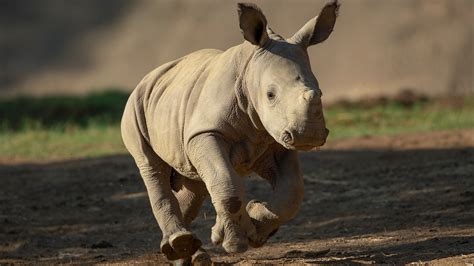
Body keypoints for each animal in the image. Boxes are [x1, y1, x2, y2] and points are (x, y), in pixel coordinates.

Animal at [120, 0, 338, 264]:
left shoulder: (275, 139)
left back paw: (186, 255)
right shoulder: (206, 132)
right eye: (270, 95)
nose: (309, 135)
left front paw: (254, 228)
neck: (249, 70)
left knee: (195, 183)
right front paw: (235, 243)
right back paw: (180, 244)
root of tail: (149, 76)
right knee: (152, 167)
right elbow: (228, 185)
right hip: (135, 106)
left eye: (321, 92)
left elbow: (292, 192)